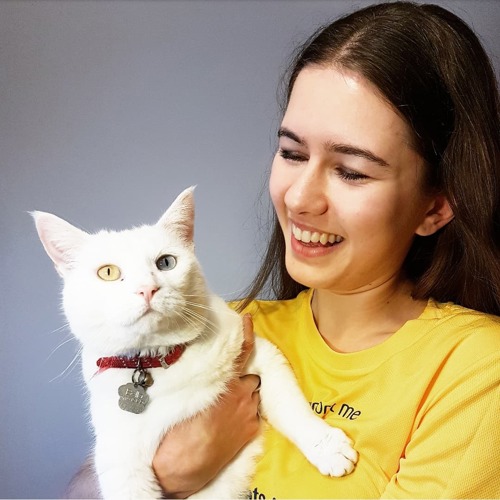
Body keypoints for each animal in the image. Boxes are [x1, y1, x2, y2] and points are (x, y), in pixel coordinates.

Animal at [34, 188, 356, 500]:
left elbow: (291, 408)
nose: (147, 289)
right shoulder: (120, 460)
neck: (159, 362)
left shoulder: (260, 355)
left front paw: (327, 448)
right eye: (108, 272)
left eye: (166, 262)